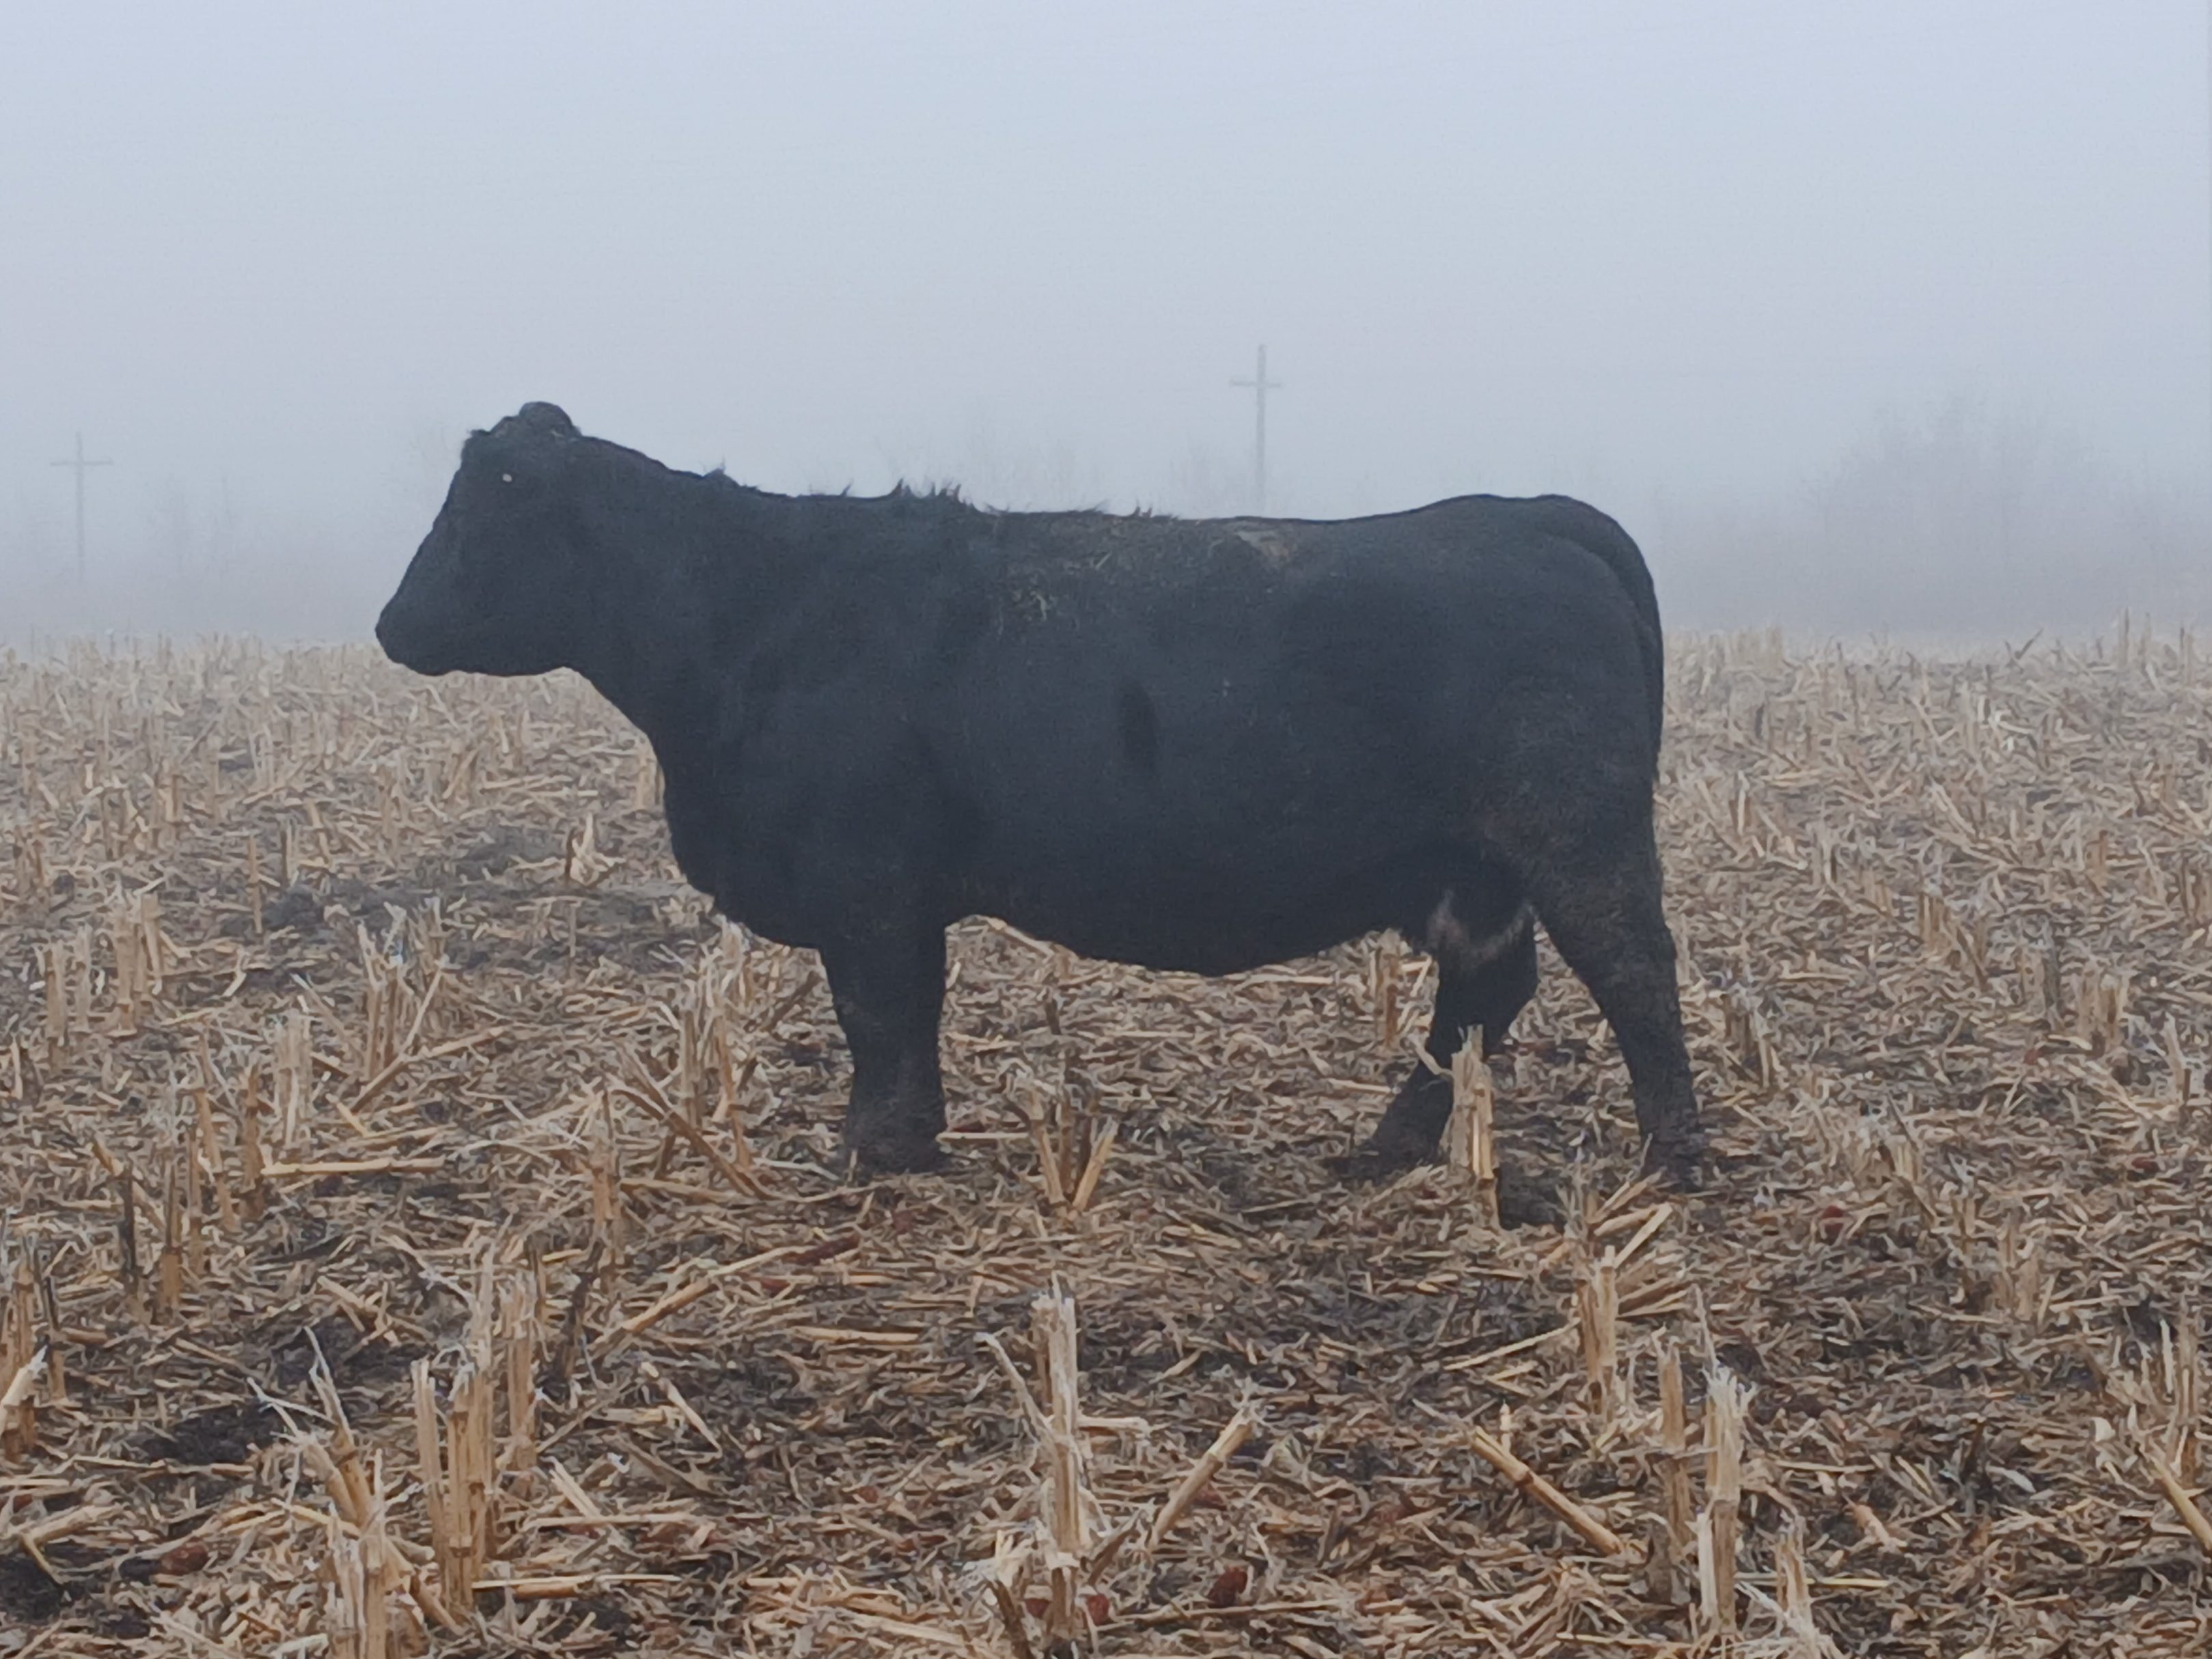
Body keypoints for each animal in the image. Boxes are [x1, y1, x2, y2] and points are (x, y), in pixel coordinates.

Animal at [377, 402, 1702, 1207]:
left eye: (485, 503)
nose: (391, 625)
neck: (758, 608)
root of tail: (1533, 512)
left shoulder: (867, 882)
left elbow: (877, 1020)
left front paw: (869, 1153)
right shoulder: (897, 896)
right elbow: (905, 1019)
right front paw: (906, 1143)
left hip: (1573, 837)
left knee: (1635, 972)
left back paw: (1671, 1161)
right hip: (1472, 869)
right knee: (1484, 994)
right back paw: (1387, 1147)